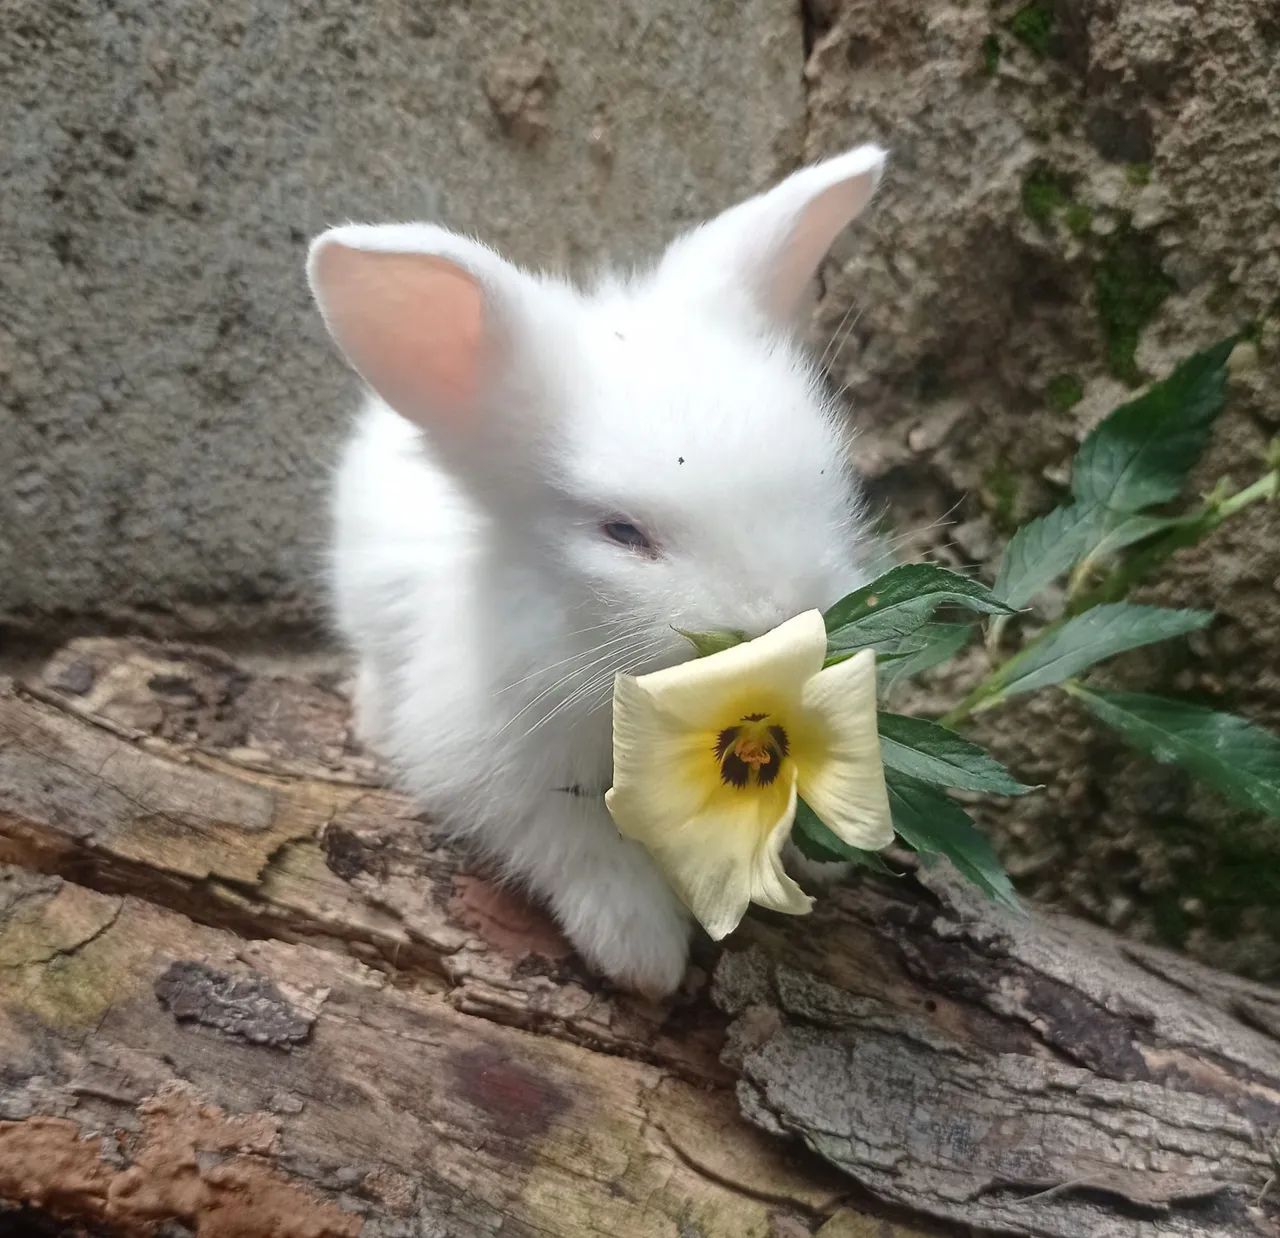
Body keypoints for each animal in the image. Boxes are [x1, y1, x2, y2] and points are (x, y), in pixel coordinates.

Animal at [306, 145, 888, 998]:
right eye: (622, 532)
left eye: (831, 481)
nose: (778, 621)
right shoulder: (497, 771)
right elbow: (576, 846)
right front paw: (642, 953)